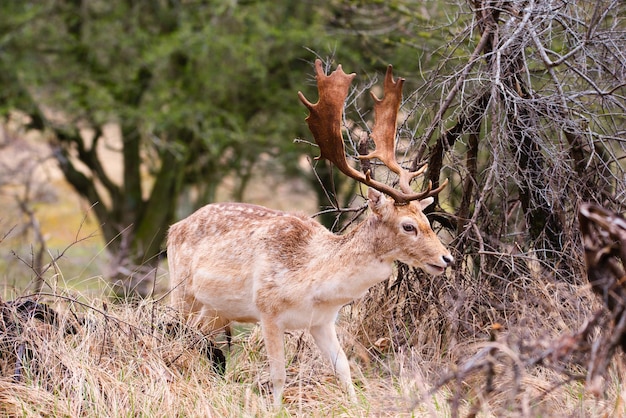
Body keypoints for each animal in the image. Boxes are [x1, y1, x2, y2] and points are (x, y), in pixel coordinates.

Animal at [163, 59, 450, 404]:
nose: (447, 258)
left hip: (215, 310)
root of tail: (173, 227)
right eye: (408, 226)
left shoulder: (323, 322)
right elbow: (278, 376)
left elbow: (344, 369)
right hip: (181, 292)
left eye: (427, 219)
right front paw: (275, 408)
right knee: (175, 336)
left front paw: (353, 404)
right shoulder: (268, 311)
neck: (313, 284)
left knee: (200, 343)